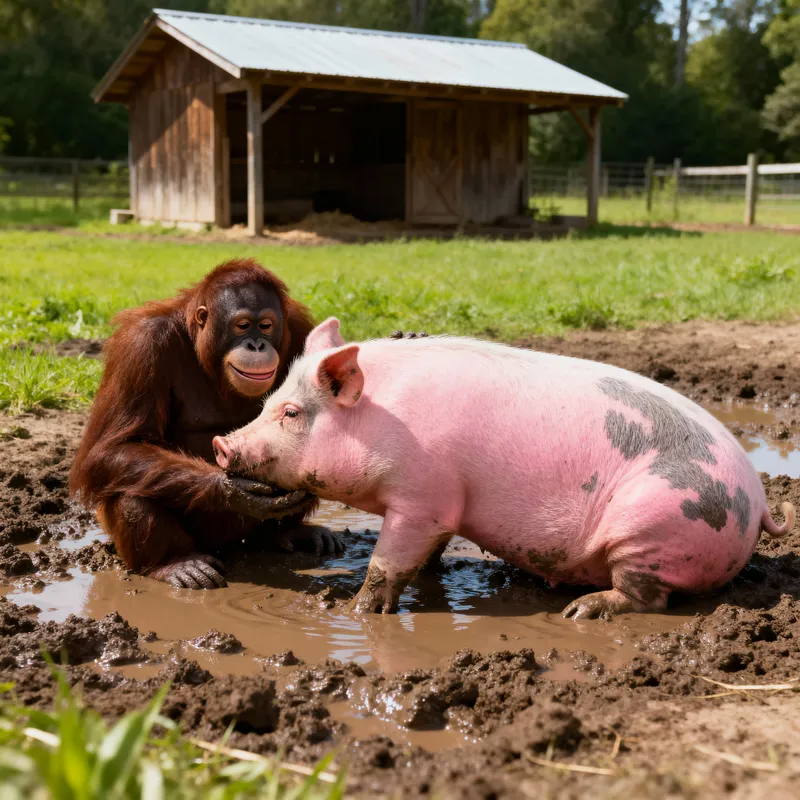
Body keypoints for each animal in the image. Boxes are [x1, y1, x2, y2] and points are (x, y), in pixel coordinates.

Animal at [213, 318, 796, 620]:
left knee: (645, 597)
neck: (385, 418)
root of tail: (759, 499)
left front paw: (354, 613)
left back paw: (580, 611)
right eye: (269, 402)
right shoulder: (444, 508)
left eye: (292, 413)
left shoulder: (421, 498)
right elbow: (428, 555)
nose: (222, 444)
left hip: (653, 524)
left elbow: (388, 564)